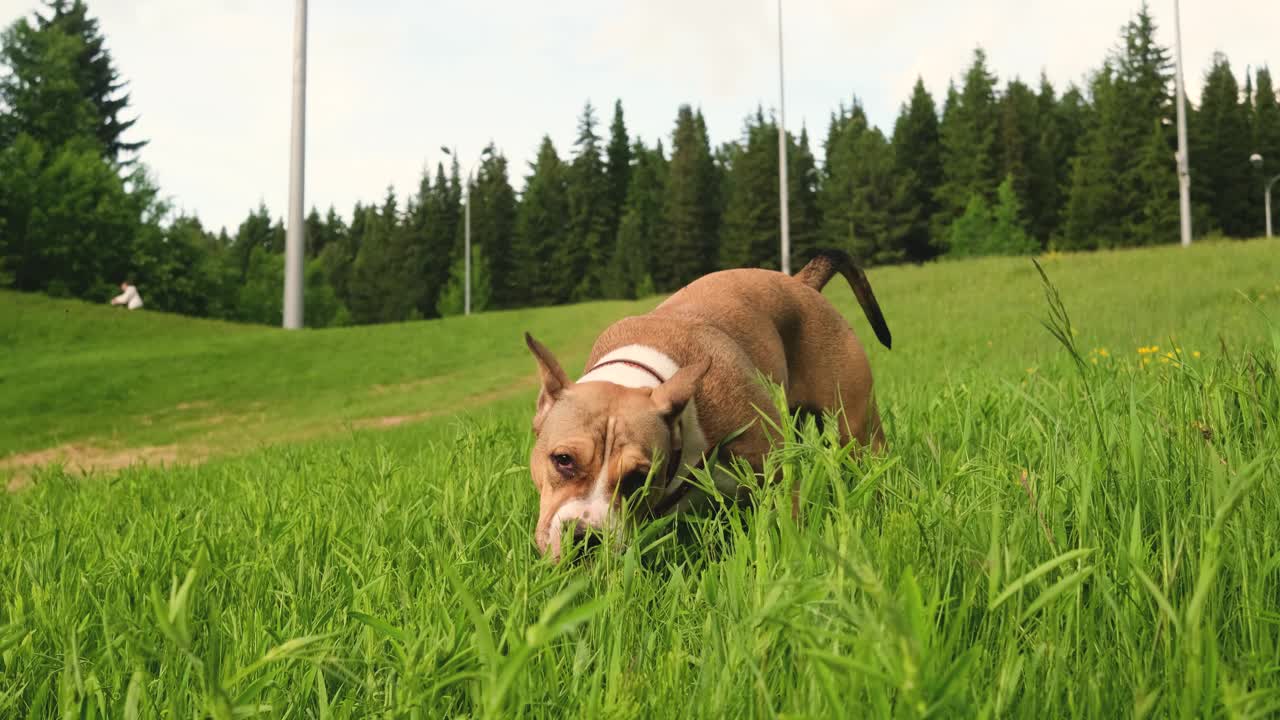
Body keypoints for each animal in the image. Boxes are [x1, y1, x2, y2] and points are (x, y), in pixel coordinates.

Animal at [519, 249, 890, 558]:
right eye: (563, 460)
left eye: (639, 477)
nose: (586, 537)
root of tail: (800, 283)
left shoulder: (778, 476)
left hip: (857, 430)